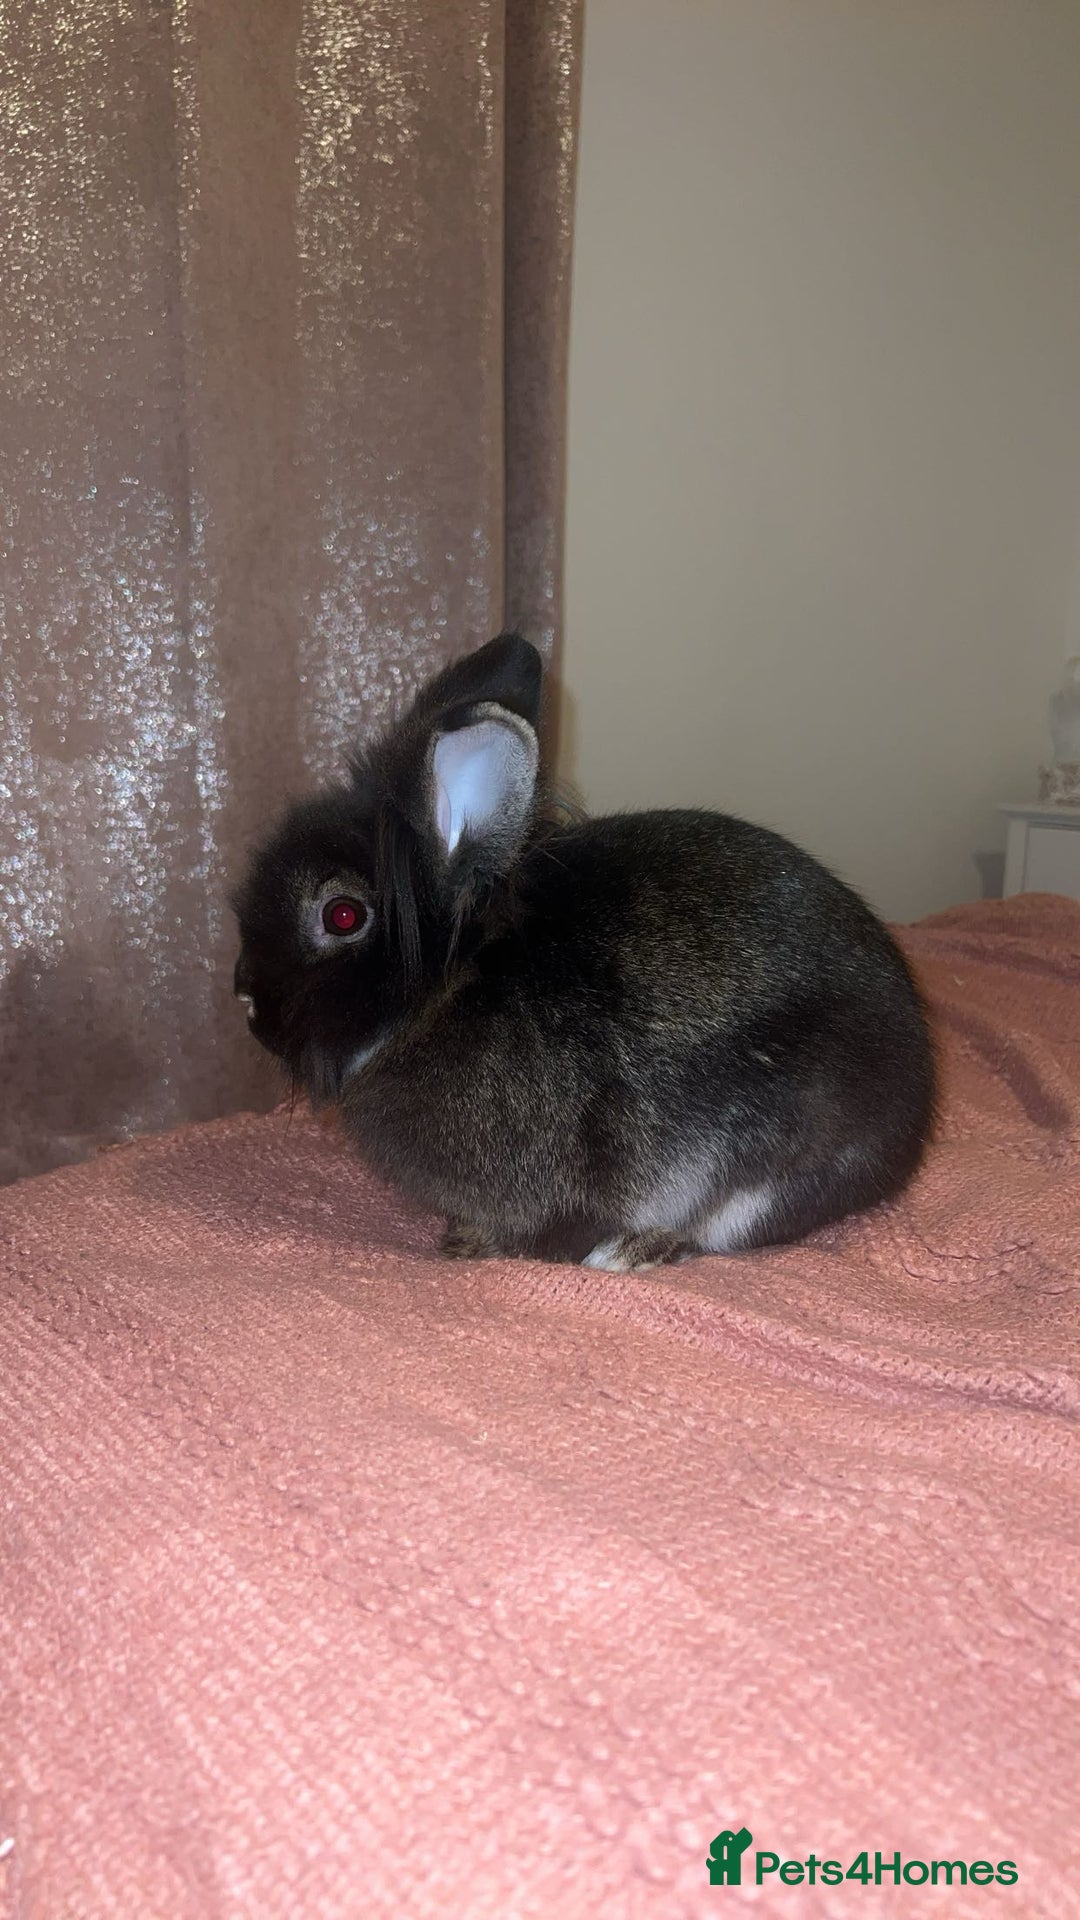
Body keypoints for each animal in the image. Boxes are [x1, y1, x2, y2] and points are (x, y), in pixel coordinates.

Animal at [233, 633, 935, 1269]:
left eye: (342, 916)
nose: (245, 998)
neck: (453, 984)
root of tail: (914, 1117)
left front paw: (481, 1248)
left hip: (764, 1171)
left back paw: (635, 1249)